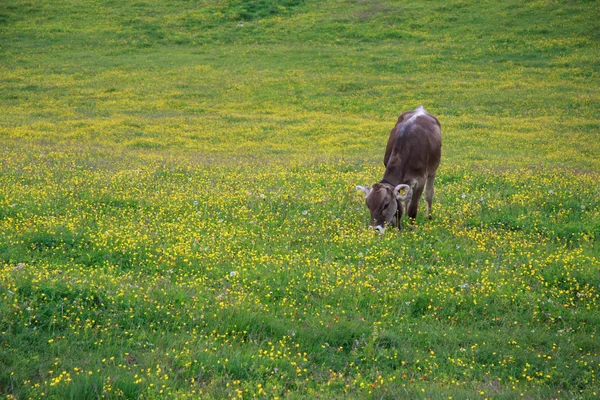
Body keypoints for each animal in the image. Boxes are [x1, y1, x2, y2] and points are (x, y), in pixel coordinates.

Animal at [356, 104, 440, 233]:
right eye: (368, 205)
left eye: (385, 205)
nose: (375, 229)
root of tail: (420, 109)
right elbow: (400, 203)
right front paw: (397, 225)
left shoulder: (420, 179)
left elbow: (412, 209)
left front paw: (411, 228)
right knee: (407, 197)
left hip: (433, 170)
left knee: (429, 193)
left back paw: (429, 216)